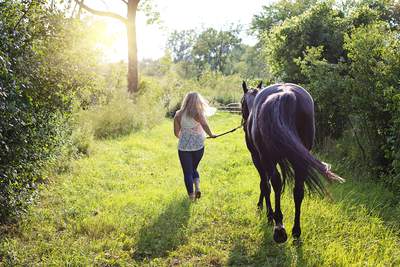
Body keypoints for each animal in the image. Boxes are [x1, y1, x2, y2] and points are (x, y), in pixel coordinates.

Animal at [241, 81, 344, 243]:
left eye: (241, 103)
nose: (244, 123)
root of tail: (285, 94)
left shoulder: (258, 158)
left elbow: (265, 185)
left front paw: (267, 213)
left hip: (268, 159)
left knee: (276, 184)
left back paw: (279, 228)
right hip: (299, 161)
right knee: (298, 191)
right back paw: (296, 230)